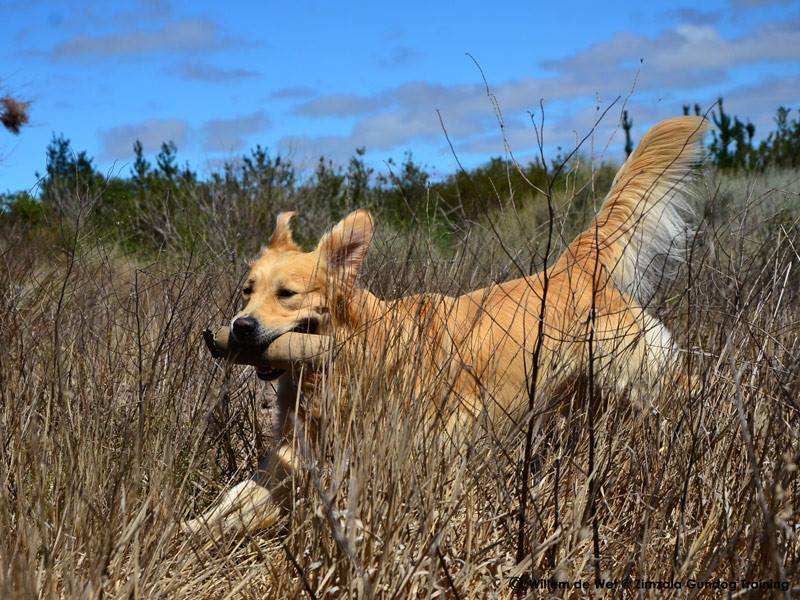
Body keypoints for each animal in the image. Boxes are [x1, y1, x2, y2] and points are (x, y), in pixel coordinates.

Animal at [184, 115, 708, 536]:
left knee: (687, 388)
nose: (240, 327)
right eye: (246, 290)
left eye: (287, 294)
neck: (351, 355)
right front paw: (190, 531)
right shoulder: (296, 456)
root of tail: (571, 266)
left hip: (642, 376)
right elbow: (235, 500)